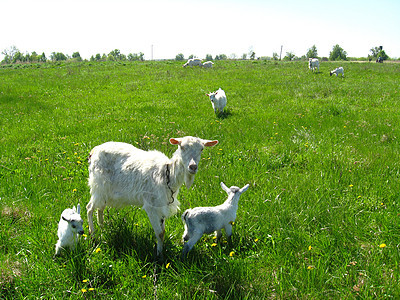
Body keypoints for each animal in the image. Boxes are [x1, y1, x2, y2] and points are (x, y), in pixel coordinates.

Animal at [86, 136, 219, 255]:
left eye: (201, 149)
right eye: (182, 147)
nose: (193, 167)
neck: (167, 174)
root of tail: (94, 150)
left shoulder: (163, 204)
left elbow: (163, 231)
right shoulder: (152, 206)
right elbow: (160, 233)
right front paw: (159, 256)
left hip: (105, 192)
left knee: (100, 208)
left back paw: (103, 228)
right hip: (98, 185)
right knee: (89, 208)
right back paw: (93, 235)